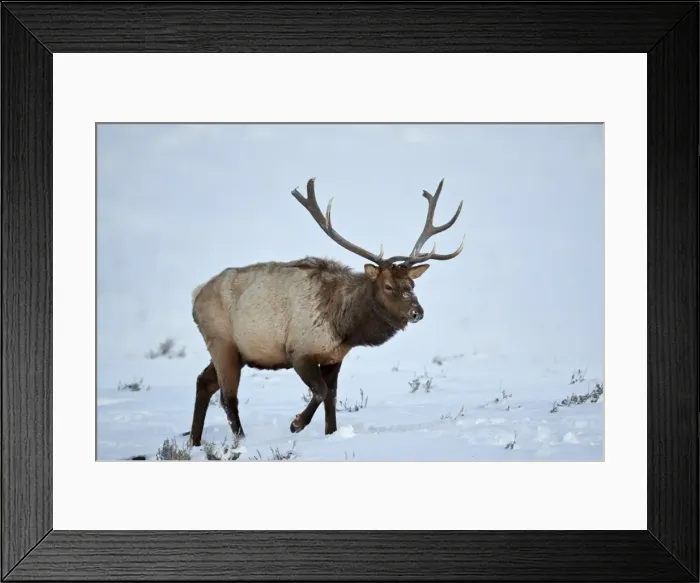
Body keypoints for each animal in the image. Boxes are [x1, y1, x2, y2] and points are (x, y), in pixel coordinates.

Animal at [187, 177, 464, 447]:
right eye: (388, 286)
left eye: (411, 284)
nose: (417, 312)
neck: (344, 326)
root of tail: (196, 295)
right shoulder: (299, 351)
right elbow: (319, 391)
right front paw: (296, 423)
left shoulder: (334, 357)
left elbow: (331, 396)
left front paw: (331, 433)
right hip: (222, 342)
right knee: (227, 397)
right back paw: (240, 441)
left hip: (238, 351)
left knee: (204, 382)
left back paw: (194, 441)